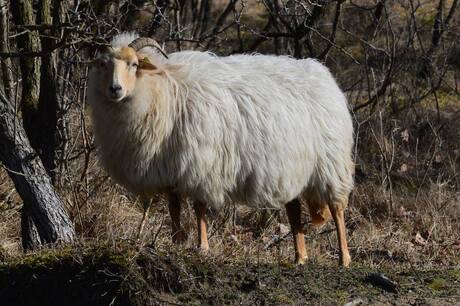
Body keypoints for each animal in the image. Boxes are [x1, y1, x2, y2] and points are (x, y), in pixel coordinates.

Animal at [88, 32, 354, 266]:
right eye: (103, 64)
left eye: (134, 64)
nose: (115, 89)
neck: (164, 89)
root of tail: (322, 74)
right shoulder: (169, 168)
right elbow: (174, 207)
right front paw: (176, 241)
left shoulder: (200, 162)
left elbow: (198, 208)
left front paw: (202, 246)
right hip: (292, 168)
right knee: (294, 209)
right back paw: (300, 258)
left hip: (331, 163)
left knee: (337, 209)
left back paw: (344, 259)